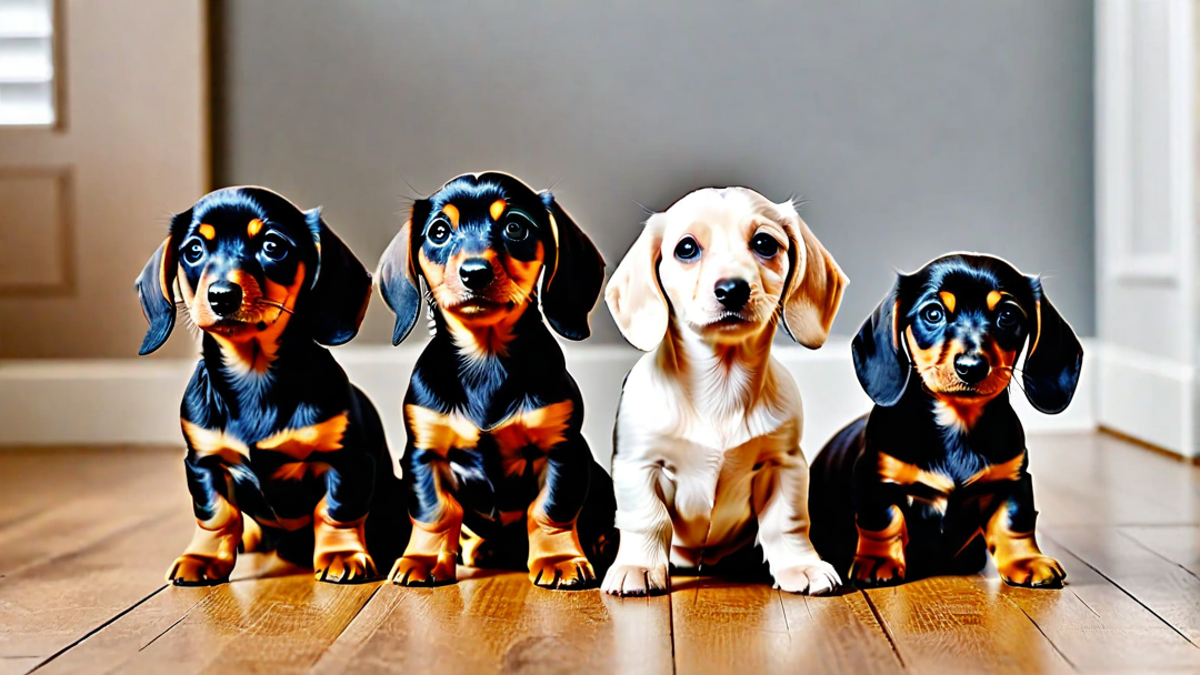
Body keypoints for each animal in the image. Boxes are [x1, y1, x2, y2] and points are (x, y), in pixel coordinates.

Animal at [138, 184, 405, 583]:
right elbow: (215, 515)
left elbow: (337, 511)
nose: (221, 296)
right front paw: (202, 559)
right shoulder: (203, 462)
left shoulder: (347, 460)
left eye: (272, 246)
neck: (253, 376)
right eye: (194, 250)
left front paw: (341, 555)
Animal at [376, 170, 619, 586]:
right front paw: (422, 560)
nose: (474, 274)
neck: (485, 361)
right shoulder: (424, 455)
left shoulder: (562, 451)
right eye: (439, 231)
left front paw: (559, 560)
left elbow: (550, 510)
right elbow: (435, 513)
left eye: (515, 227)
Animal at [597, 184, 844, 593]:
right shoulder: (639, 463)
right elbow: (648, 519)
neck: (721, 387)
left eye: (764, 243)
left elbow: (787, 523)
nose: (732, 289)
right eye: (686, 248)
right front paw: (639, 566)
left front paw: (800, 566)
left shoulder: (784, 464)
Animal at [811, 253, 1084, 588]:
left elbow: (1015, 522)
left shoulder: (1014, 480)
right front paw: (877, 561)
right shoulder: (875, 478)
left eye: (1007, 315)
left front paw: (1027, 561)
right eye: (933, 313)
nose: (971, 367)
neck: (958, 423)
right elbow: (883, 521)